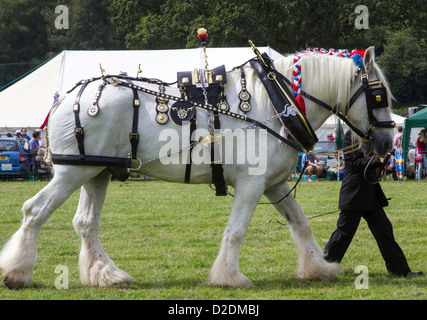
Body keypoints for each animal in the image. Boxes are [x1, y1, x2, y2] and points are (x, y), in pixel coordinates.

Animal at [0, 46, 394, 288]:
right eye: (379, 96)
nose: (387, 146)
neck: (275, 102)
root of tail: (66, 97)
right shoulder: (252, 184)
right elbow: (236, 231)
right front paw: (229, 277)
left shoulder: (274, 184)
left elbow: (301, 224)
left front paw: (318, 268)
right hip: (73, 172)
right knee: (34, 211)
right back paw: (17, 273)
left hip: (97, 173)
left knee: (85, 224)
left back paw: (107, 275)